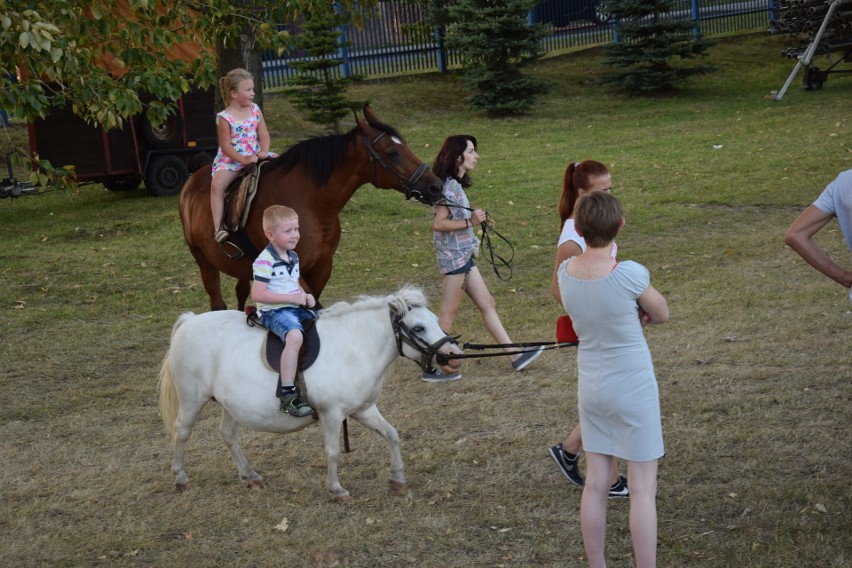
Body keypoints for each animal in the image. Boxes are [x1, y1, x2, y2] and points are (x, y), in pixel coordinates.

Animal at [156, 286, 462, 504]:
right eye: (419, 327)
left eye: (436, 321)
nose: (453, 356)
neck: (354, 346)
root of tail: (189, 322)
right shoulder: (331, 414)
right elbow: (333, 451)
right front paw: (336, 490)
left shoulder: (363, 409)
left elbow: (392, 434)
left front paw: (397, 479)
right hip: (192, 398)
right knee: (182, 432)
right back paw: (180, 477)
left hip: (231, 405)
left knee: (228, 434)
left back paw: (250, 476)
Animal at [181, 106, 446, 310]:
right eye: (392, 153)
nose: (435, 186)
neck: (310, 204)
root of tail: (192, 182)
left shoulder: (322, 268)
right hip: (204, 263)